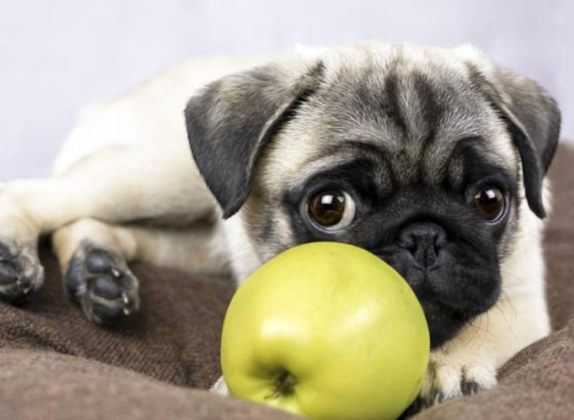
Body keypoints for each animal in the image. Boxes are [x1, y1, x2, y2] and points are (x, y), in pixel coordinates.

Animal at [0, 41, 560, 410]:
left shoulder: (522, 298)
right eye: (329, 207)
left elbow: (485, 322)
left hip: (193, 238)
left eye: (489, 201)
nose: (423, 236)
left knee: (103, 226)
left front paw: (451, 364)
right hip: (162, 173)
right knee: (42, 194)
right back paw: (16, 256)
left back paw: (99, 273)